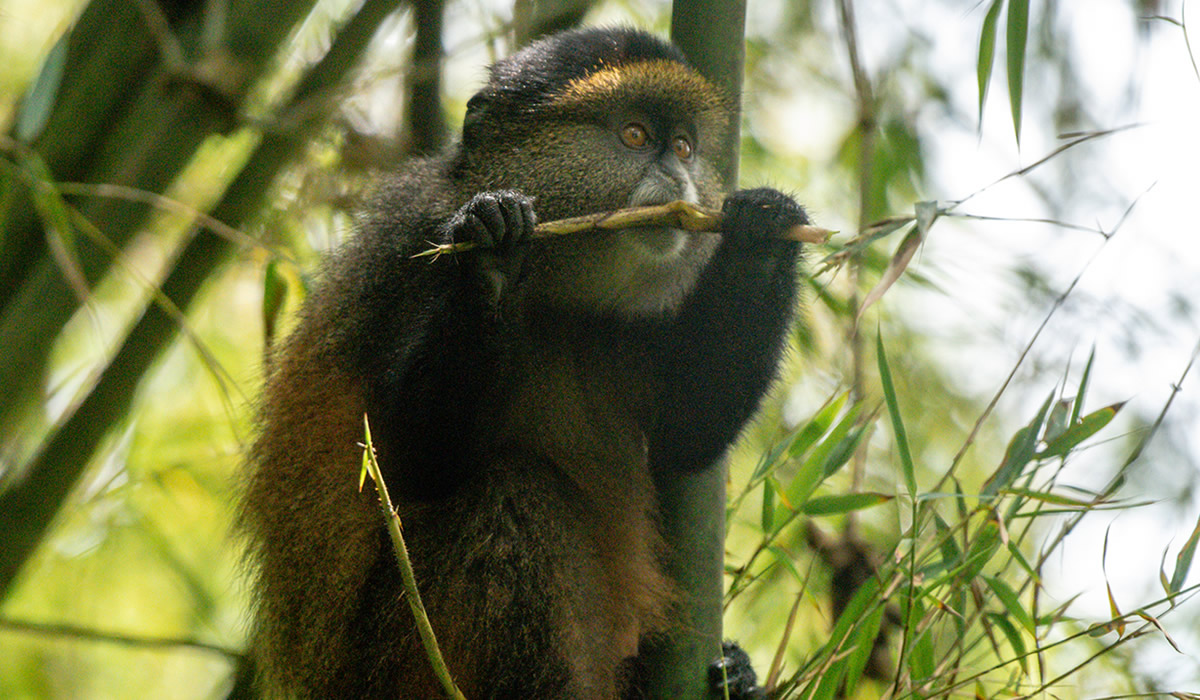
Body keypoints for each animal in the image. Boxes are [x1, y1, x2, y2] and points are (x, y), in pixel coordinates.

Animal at [240, 26, 807, 699]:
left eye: (684, 146)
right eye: (634, 135)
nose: (677, 174)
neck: (561, 292)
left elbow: (686, 435)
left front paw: (762, 234)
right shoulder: (410, 247)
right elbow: (406, 463)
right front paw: (492, 252)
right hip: (400, 661)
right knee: (512, 498)